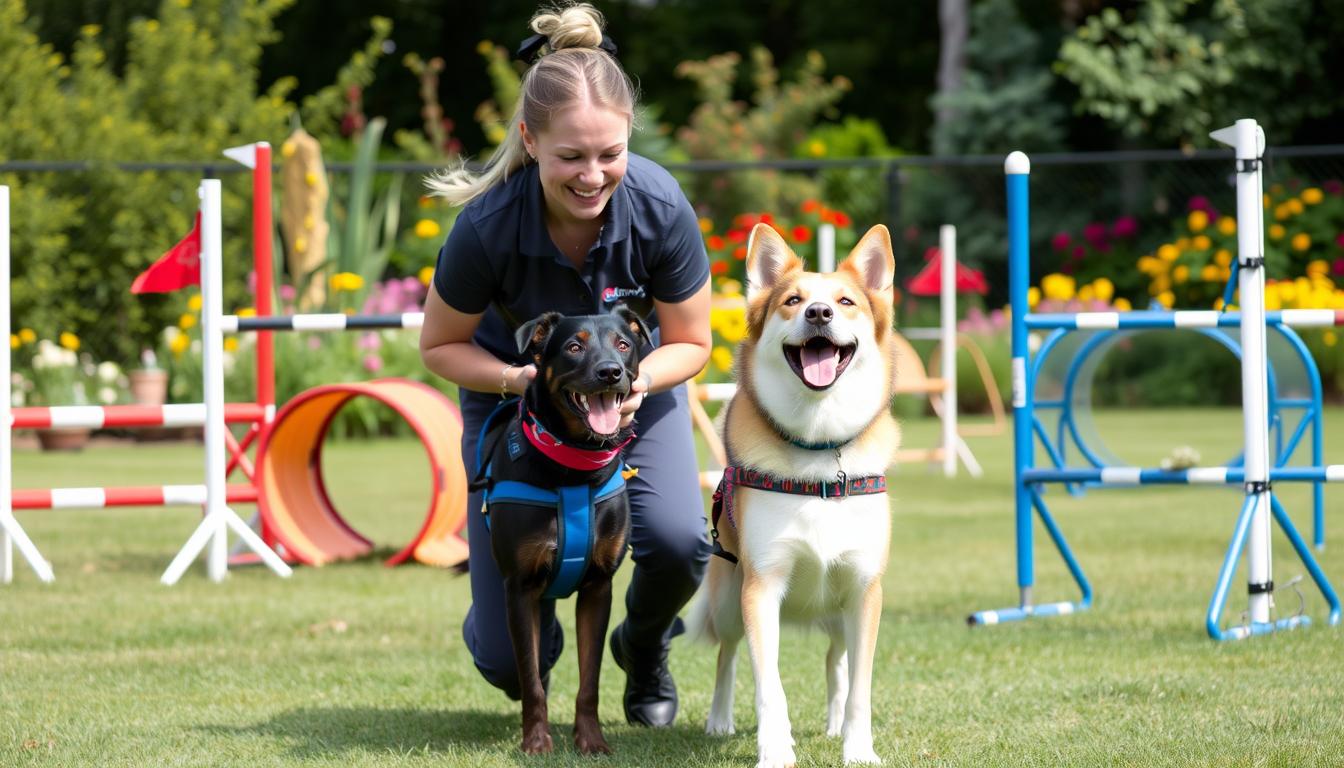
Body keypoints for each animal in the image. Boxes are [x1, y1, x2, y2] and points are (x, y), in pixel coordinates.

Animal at [478, 303, 650, 753]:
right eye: (574, 347)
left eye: (623, 344)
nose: (610, 372)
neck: (573, 465)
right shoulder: (520, 588)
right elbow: (529, 676)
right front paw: (536, 741)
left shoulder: (598, 587)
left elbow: (590, 677)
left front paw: (591, 740)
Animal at [688, 221, 897, 768]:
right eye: (792, 300)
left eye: (846, 301)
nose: (819, 313)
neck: (818, 447)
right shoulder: (761, 589)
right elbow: (770, 687)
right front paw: (775, 751)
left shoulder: (864, 589)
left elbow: (861, 687)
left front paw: (858, 749)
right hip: (727, 597)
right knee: (726, 655)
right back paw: (719, 720)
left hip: (839, 614)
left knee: (835, 661)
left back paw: (833, 724)